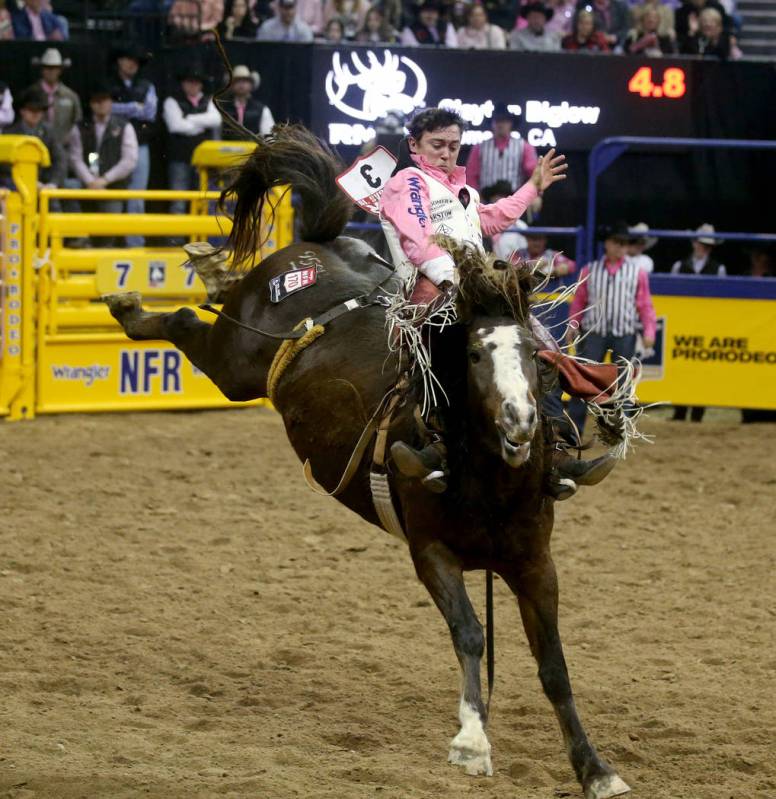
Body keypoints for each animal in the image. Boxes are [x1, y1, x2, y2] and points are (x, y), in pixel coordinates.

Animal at [104, 125, 632, 799]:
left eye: (536, 361)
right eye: (474, 357)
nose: (520, 422)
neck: (490, 483)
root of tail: (318, 246)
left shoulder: (536, 563)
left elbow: (555, 666)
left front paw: (596, 769)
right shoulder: (430, 552)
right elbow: (470, 634)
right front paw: (471, 742)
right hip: (236, 361)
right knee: (184, 321)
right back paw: (142, 301)